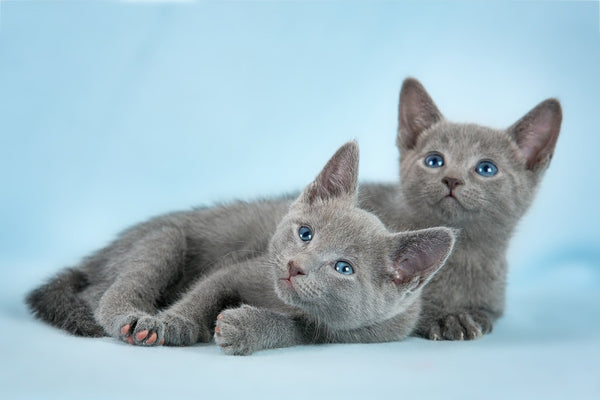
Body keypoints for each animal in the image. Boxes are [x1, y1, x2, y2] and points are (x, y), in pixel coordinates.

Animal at [24, 142, 454, 354]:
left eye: (343, 268)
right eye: (305, 233)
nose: (296, 265)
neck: (277, 297)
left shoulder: (346, 333)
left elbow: (294, 329)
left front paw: (243, 328)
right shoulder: (244, 266)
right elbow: (203, 292)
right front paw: (174, 324)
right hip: (165, 238)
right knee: (100, 296)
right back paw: (136, 319)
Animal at [360, 79, 564, 340]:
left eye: (487, 168)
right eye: (434, 161)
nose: (452, 179)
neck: (463, 251)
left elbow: (488, 312)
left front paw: (473, 315)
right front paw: (450, 318)